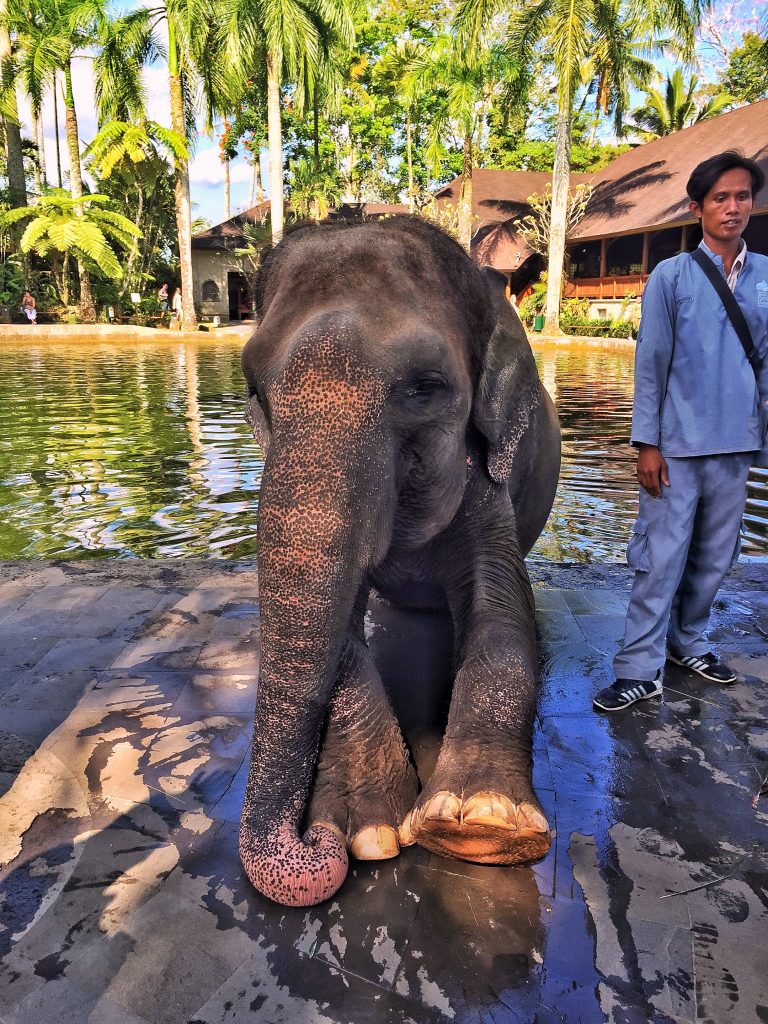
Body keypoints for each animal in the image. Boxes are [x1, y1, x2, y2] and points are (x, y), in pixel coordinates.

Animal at [240, 215, 561, 908]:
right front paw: (366, 831)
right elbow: (343, 625)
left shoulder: (487, 481)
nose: (309, 841)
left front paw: (480, 824)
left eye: (424, 389)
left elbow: (503, 612)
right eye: (254, 390)